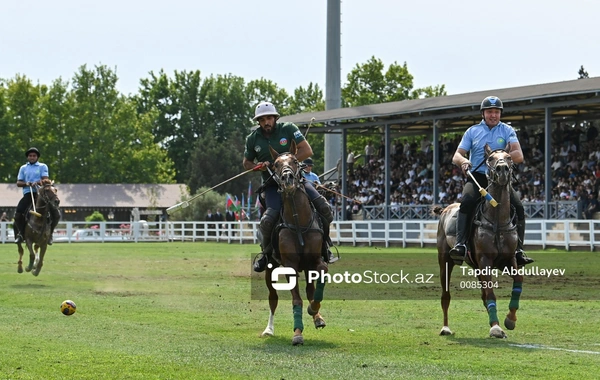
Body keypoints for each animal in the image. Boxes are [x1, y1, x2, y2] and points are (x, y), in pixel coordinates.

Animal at [260, 141, 328, 346]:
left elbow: (321, 275)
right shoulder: (290, 265)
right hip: (271, 267)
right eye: (275, 164)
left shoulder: (315, 260)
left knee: (310, 290)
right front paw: (297, 333)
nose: (287, 178)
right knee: (272, 297)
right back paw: (268, 329)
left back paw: (317, 317)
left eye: (295, 161)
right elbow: (296, 300)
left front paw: (314, 311)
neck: (299, 221)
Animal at [434, 145, 524, 338]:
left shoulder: (509, 259)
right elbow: (490, 294)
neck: (497, 220)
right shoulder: (485, 260)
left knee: (482, 294)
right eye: (490, 158)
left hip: (475, 265)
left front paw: (510, 319)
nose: (502, 169)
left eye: (509, 157)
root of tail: (445, 209)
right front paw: (496, 328)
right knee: (446, 295)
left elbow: (518, 281)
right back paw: (445, 328)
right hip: (445, 260)